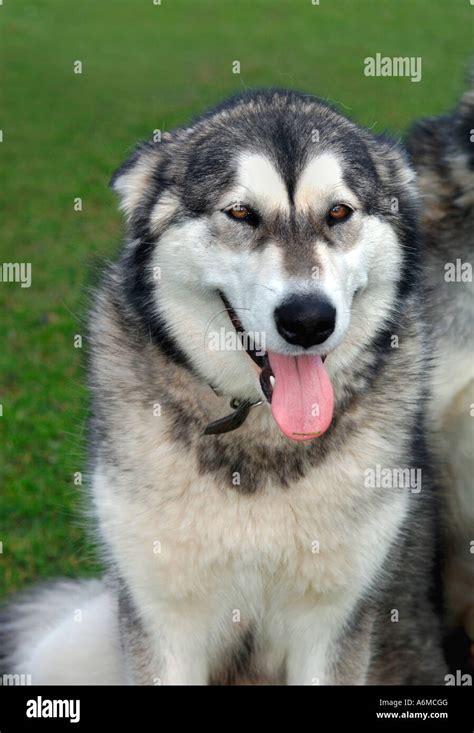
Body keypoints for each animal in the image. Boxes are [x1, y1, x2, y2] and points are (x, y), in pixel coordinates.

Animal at [1, 88, 450, 684]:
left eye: (339, 212)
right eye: (241, 212)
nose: (308, 320)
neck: (255, 431)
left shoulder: (332, 624)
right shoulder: (165, 619)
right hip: (65, 648)